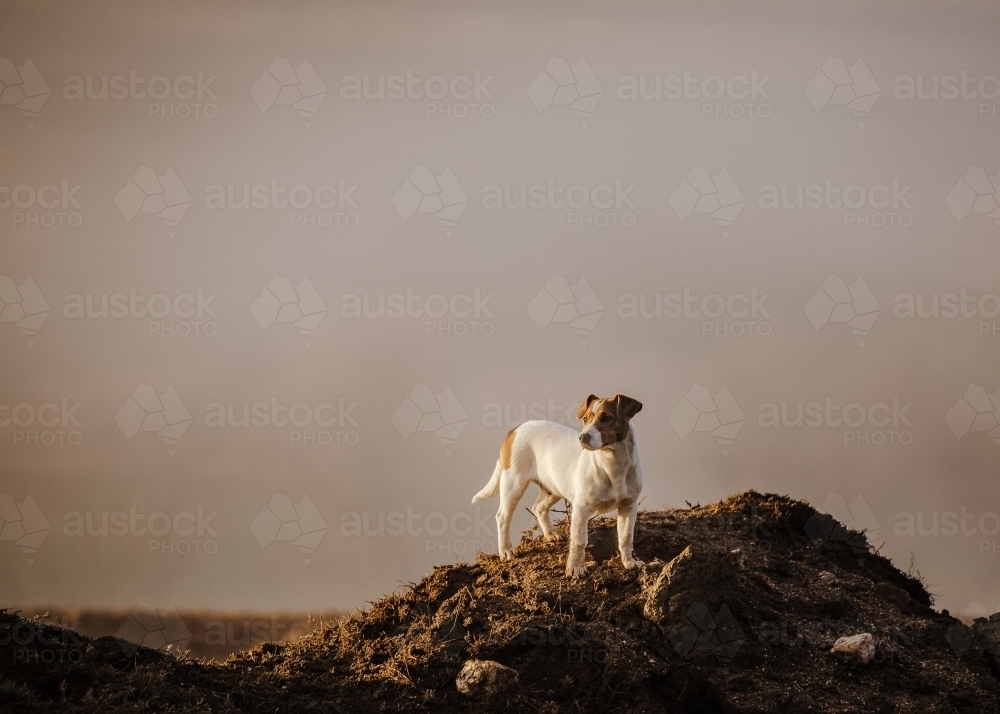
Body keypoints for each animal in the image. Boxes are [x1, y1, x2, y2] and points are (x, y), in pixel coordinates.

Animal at [472, 392, 644, 576]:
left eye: (606, 418)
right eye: (585, 419)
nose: (582, 438)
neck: (612, 464)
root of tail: (516, 429)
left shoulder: (628, 507)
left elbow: (626, 537)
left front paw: (630, 562)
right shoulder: (581, 510)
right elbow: (579, 541)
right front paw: (576, 568)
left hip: (552, 488)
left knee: (538, 508)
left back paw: (550, 534)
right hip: (513, 484)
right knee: (503, 517)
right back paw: (506, 550)